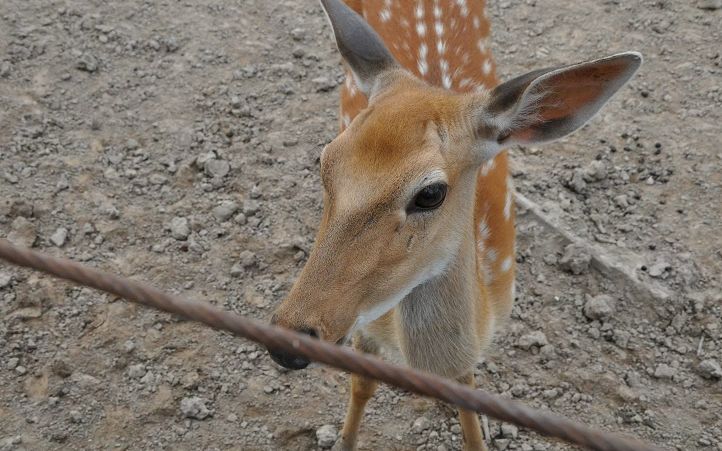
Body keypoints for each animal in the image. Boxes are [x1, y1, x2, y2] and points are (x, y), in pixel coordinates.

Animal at [268, 0, 640, 451]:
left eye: (430, 193)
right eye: (324, 161)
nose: (290, 336)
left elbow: (471, 413)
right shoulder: (366, 324)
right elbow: (361, 386)